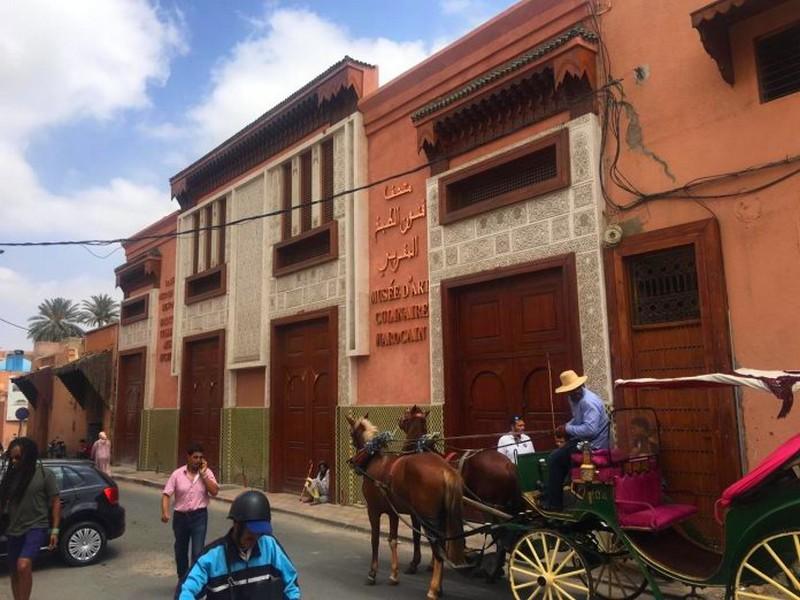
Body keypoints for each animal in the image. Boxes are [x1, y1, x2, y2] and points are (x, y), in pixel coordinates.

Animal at [346, 412, 466, 600]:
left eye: (352, 433)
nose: (352, 461)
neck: (374, 459)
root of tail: (445, 470)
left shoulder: (373, 510)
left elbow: (375, 540)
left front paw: (372, 574)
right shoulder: (393, 512)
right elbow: (393, 541)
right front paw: (394, 575)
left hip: (428, 519)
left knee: (438, 551)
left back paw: (433, 589)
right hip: (441, 518)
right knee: (441, 548)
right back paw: (439, 587)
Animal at [396, 406, 520, 584]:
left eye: (406, 414)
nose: (399, 420)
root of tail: (509, 465)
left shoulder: (415, 509)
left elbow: (418, 535)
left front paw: (414, 563)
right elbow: (438, 536)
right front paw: (433, 563)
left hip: (491, 507)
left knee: (499, 536)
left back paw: (493, 573)